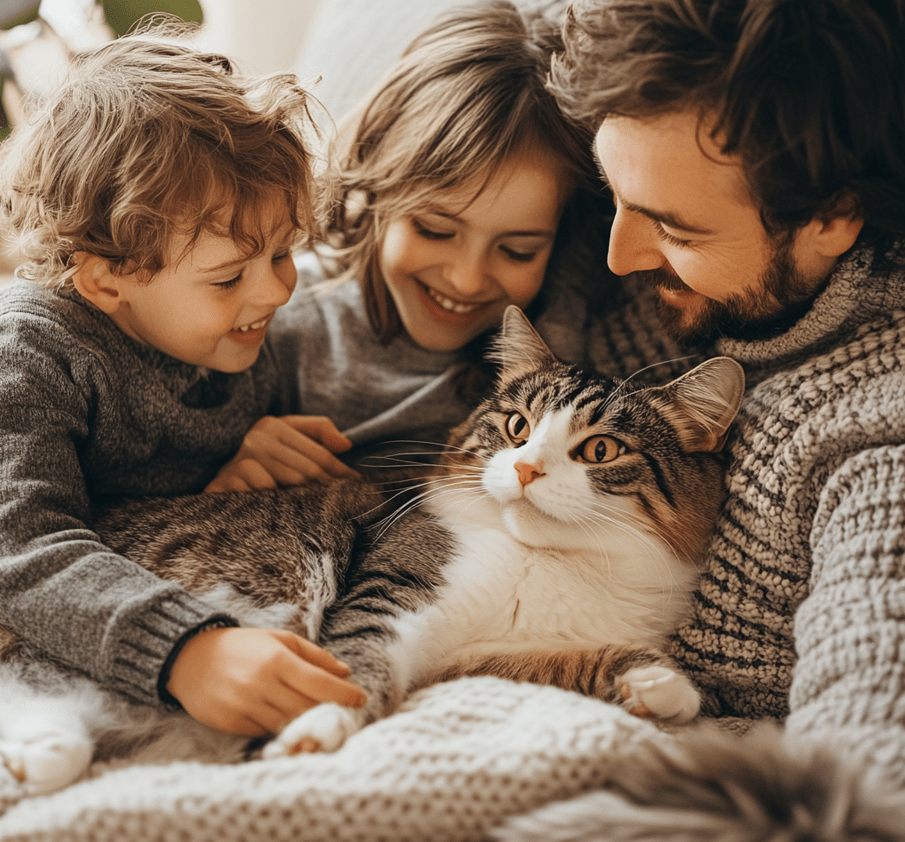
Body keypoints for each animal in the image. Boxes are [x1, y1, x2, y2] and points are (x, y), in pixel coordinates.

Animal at [0, 306, 740, 792]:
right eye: (515, 426)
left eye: (600, 450)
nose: (527, 469)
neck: (550, 560)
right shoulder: (391, 587)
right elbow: (359, 665)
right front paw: (317, 723)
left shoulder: (471, 661)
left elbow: (567, 664)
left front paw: (658, 684)